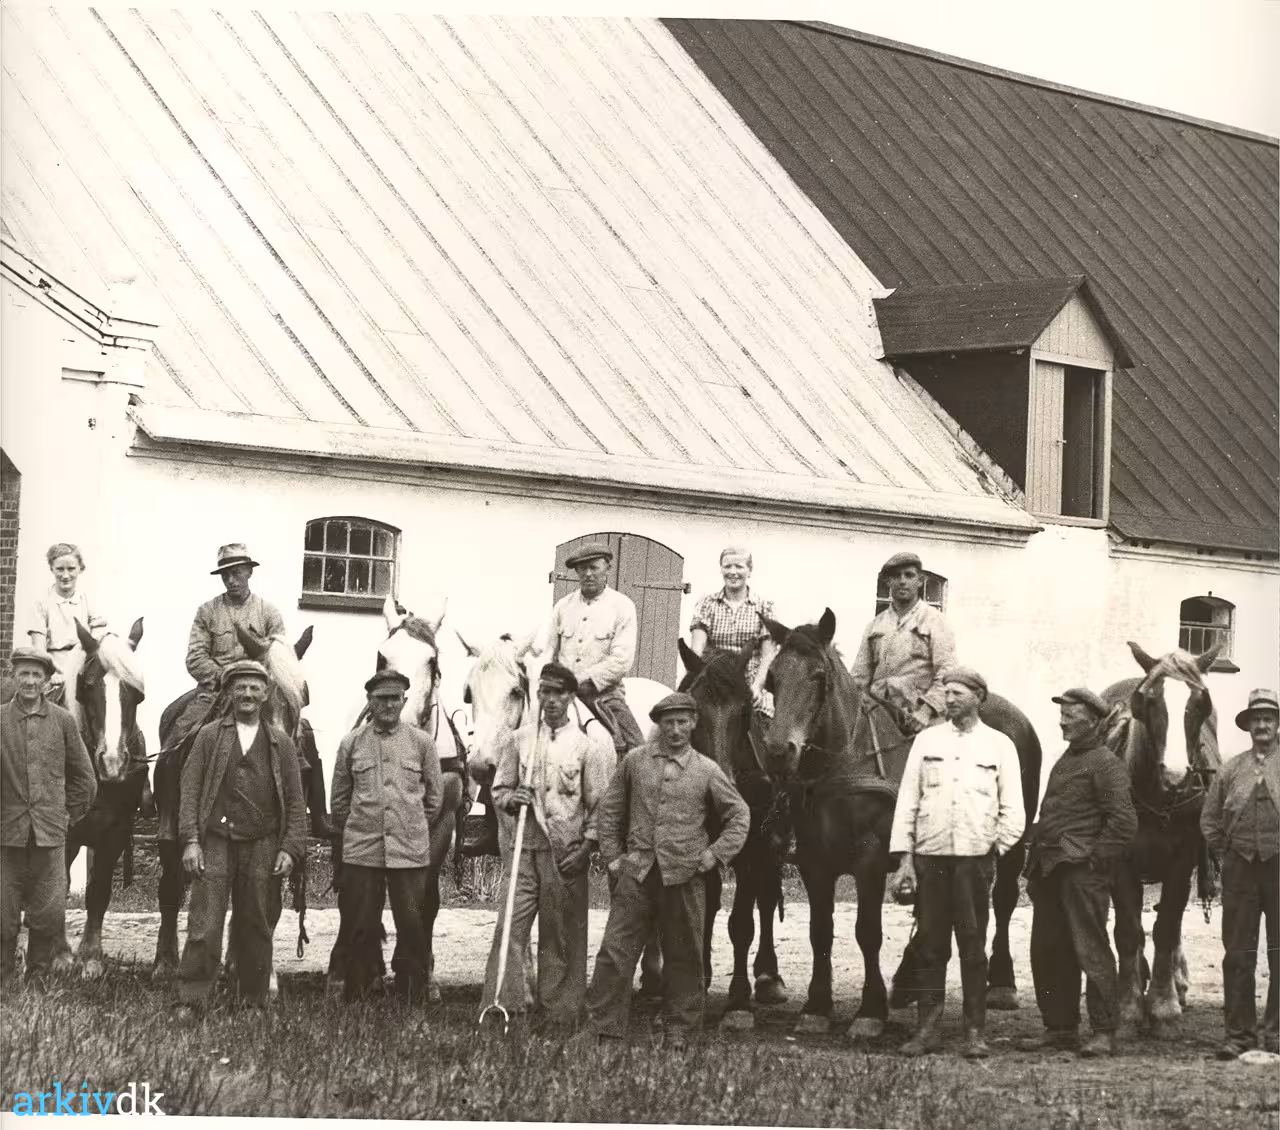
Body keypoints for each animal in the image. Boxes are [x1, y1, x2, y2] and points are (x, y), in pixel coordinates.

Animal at [677, 639, 787, 1028]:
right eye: (694, 712)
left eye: (743, 714)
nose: (722, 783)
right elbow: (704, 907)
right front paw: (699, 977)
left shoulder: (753, 847)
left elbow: (741, 923)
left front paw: (738, 1001)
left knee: (766, 901)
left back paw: (769, 977)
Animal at [762, 608, 1042, 1038]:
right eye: (773, 677)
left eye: (818, 677)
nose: (778, 751)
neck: (844, 761)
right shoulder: (814, 861)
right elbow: (819, 931)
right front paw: (817, 1006)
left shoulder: (871, 859)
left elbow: (867, 932)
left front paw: (870, 1011)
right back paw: (910, 979)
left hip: (1014, 840)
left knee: (1006, 898)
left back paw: (1002, 984)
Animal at [1098, 640, 1221, 1038]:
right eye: (1148, 700)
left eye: (1201, 701)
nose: (1178, 775)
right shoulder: (1120, 862)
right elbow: (1128, 931)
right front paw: (1129, 1008)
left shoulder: (1182, 861)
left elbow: (1167, 927)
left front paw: (1164, 1007)